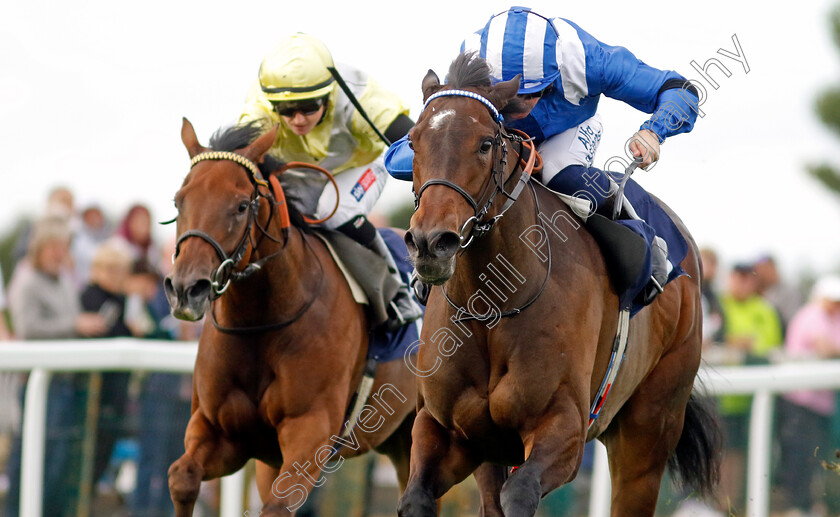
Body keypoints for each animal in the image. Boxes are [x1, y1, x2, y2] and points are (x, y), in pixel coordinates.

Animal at [164, 119, 416, 512]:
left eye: (241, 206)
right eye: (179, 200)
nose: (186, 289)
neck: (258, 324)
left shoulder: (310, 431)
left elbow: (278, 506)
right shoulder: (222, 432)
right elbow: (182, 477)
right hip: (397, 438)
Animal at [398, 53, 720, 516]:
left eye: (484, 143)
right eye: (413, 142)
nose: (430, 242)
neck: (494, 305)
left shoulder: (565, 427)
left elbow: (521, 491)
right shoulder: (447, 430)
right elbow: (417, 497)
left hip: (648, 431)